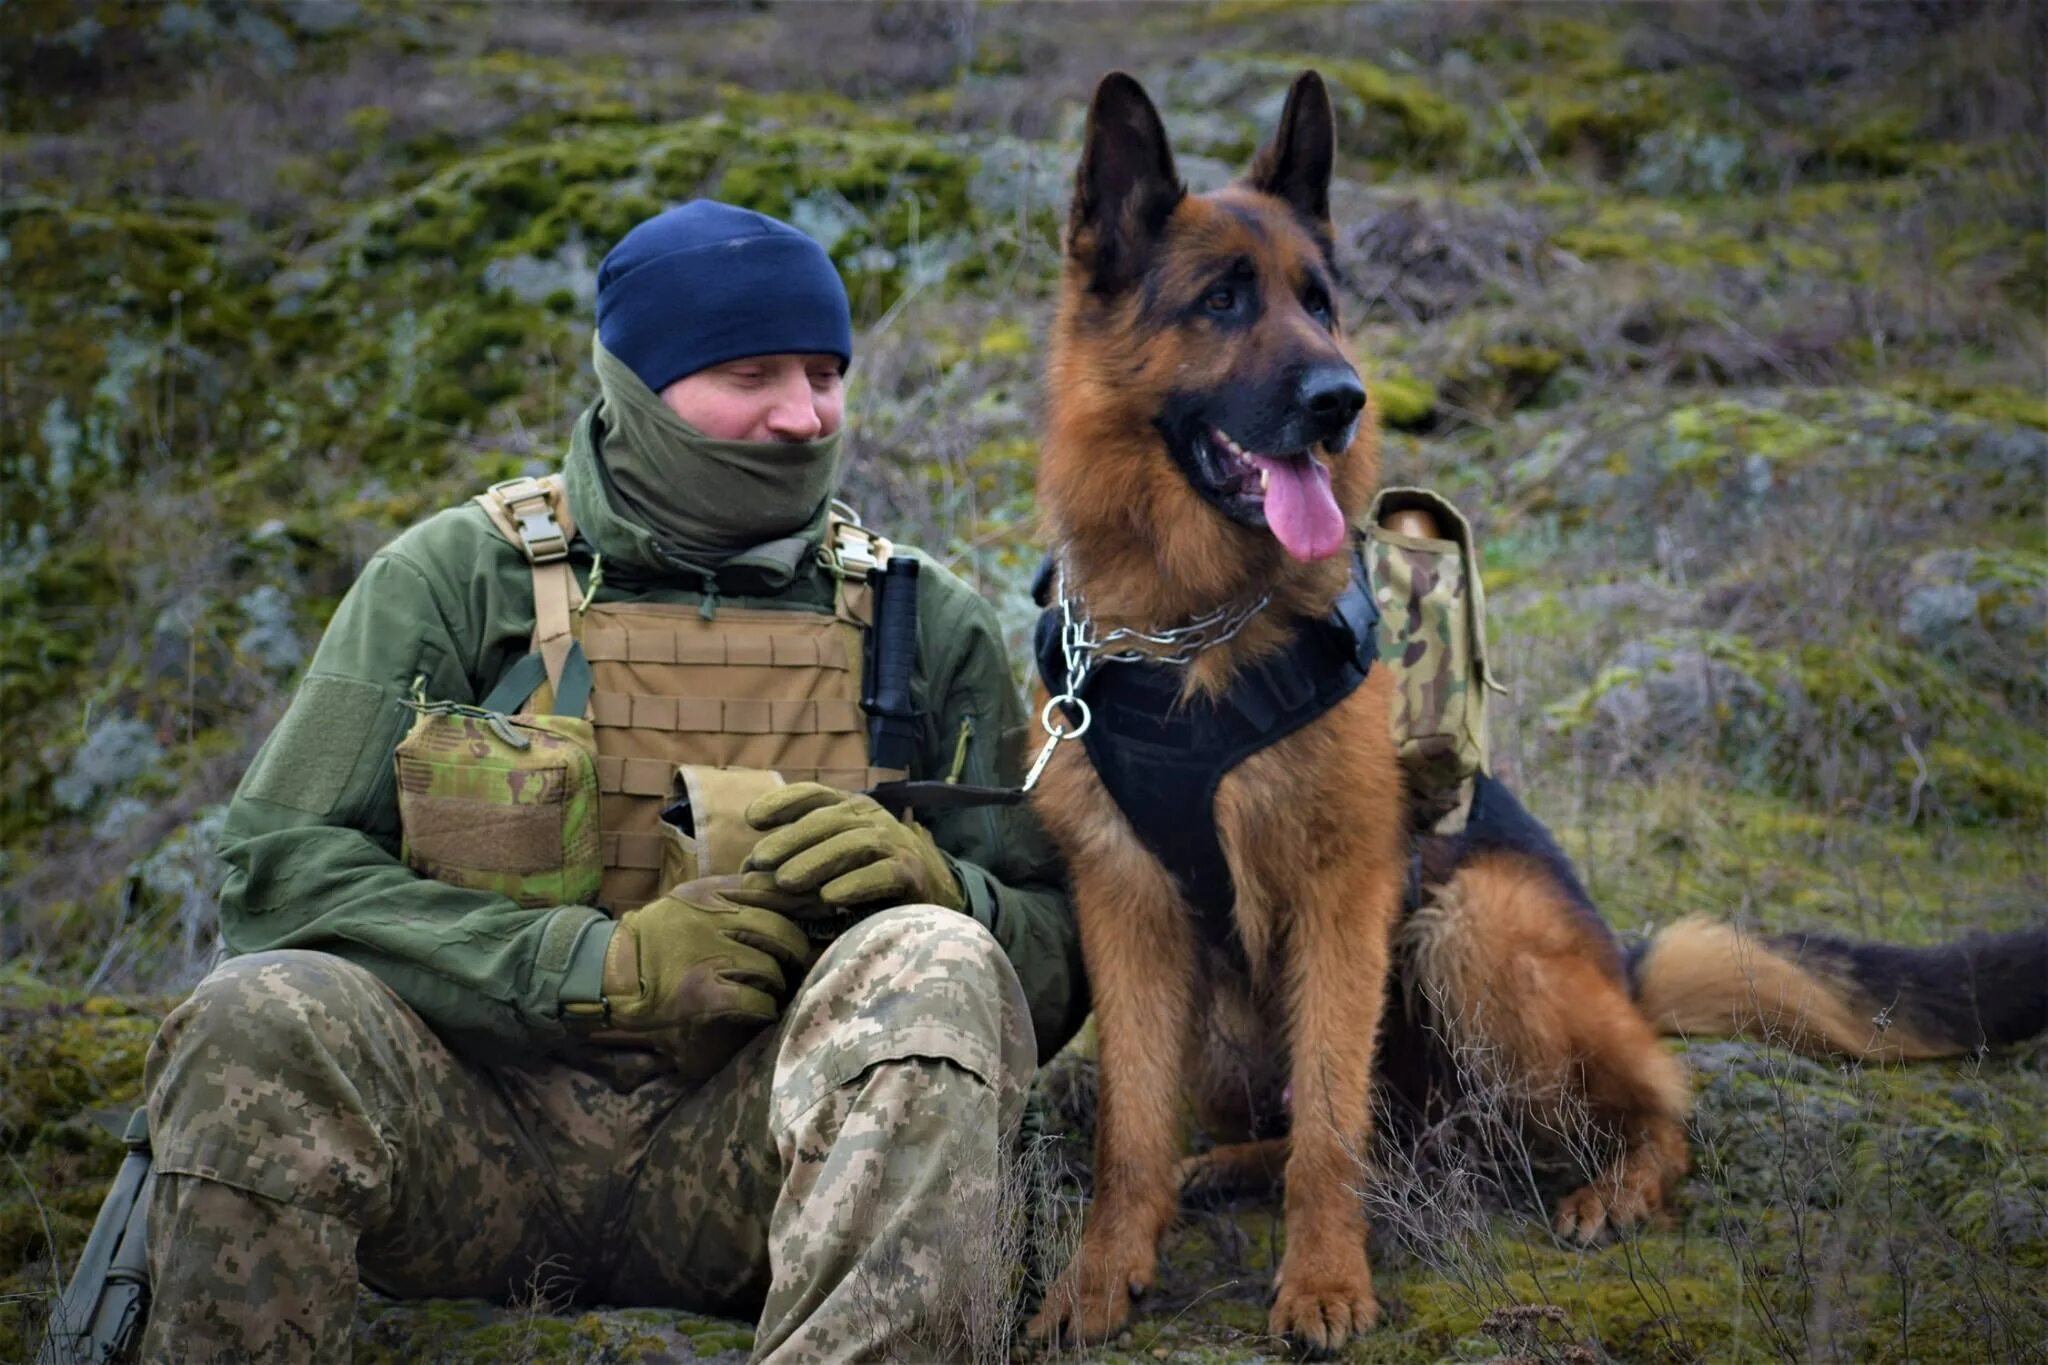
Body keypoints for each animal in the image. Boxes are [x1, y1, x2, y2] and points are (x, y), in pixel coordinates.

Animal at [1032, 69, 2039, 1350]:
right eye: (1219, 300)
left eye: (1319, 303)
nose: (1342, 401)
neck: (1197, 626)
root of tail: (1623, 961)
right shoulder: (1128, 909)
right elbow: (1131, 1128)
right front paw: (1102, 1273)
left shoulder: (1343, 898)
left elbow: (1329, 1130)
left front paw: (1323, 1279)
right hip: (1238, 1019)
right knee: (1359, 1125)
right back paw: (1225, 1166)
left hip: (1473, 929)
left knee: (1651, 1100)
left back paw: (1618, 1186)